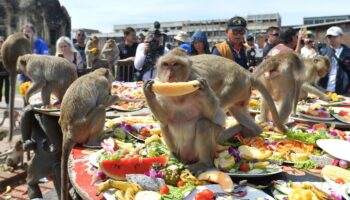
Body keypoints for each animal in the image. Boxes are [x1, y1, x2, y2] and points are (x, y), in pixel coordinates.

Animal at [59, 67, 119, 200]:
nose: (111, 90)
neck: (95, 74)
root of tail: (67, 132)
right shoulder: (103, 84)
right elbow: (104, 101)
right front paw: (117, 96)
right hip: (82, 129)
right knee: (101, 108)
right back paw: (94, 141)